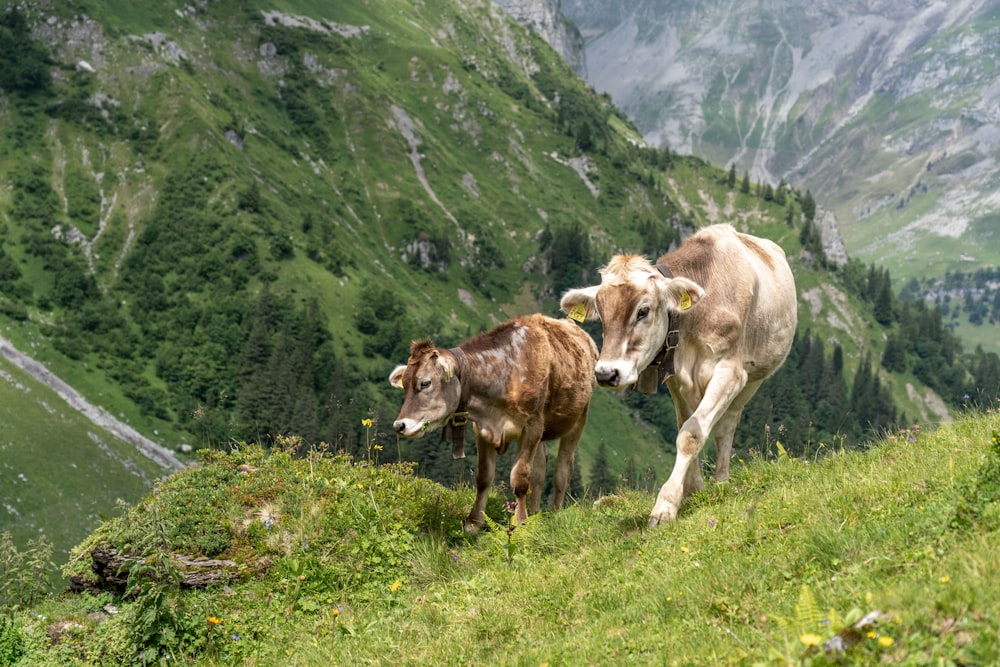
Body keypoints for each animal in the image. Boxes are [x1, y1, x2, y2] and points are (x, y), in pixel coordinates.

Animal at [388, 314, 592, 532]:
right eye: (404, 385)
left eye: (425, 383)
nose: (399, 425)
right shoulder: (482, 428)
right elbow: (484, 477)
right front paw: (473, 522)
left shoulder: (532, 426)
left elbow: (520, 478)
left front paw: (520, 522)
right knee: (539, 470)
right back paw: (535, 512)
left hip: (578, 419)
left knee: (562, 471)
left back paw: (554, 513)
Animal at [564, 224, 796, 528]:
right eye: (602, 315)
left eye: (643, 311)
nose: (606, 373)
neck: (693, 321)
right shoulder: (675, 379)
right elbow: (684, 425)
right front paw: (693, 490)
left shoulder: (730, 372)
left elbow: (691, 434)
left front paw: (665, 505)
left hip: (753, 379)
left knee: (726, 426)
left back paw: (722, 481)